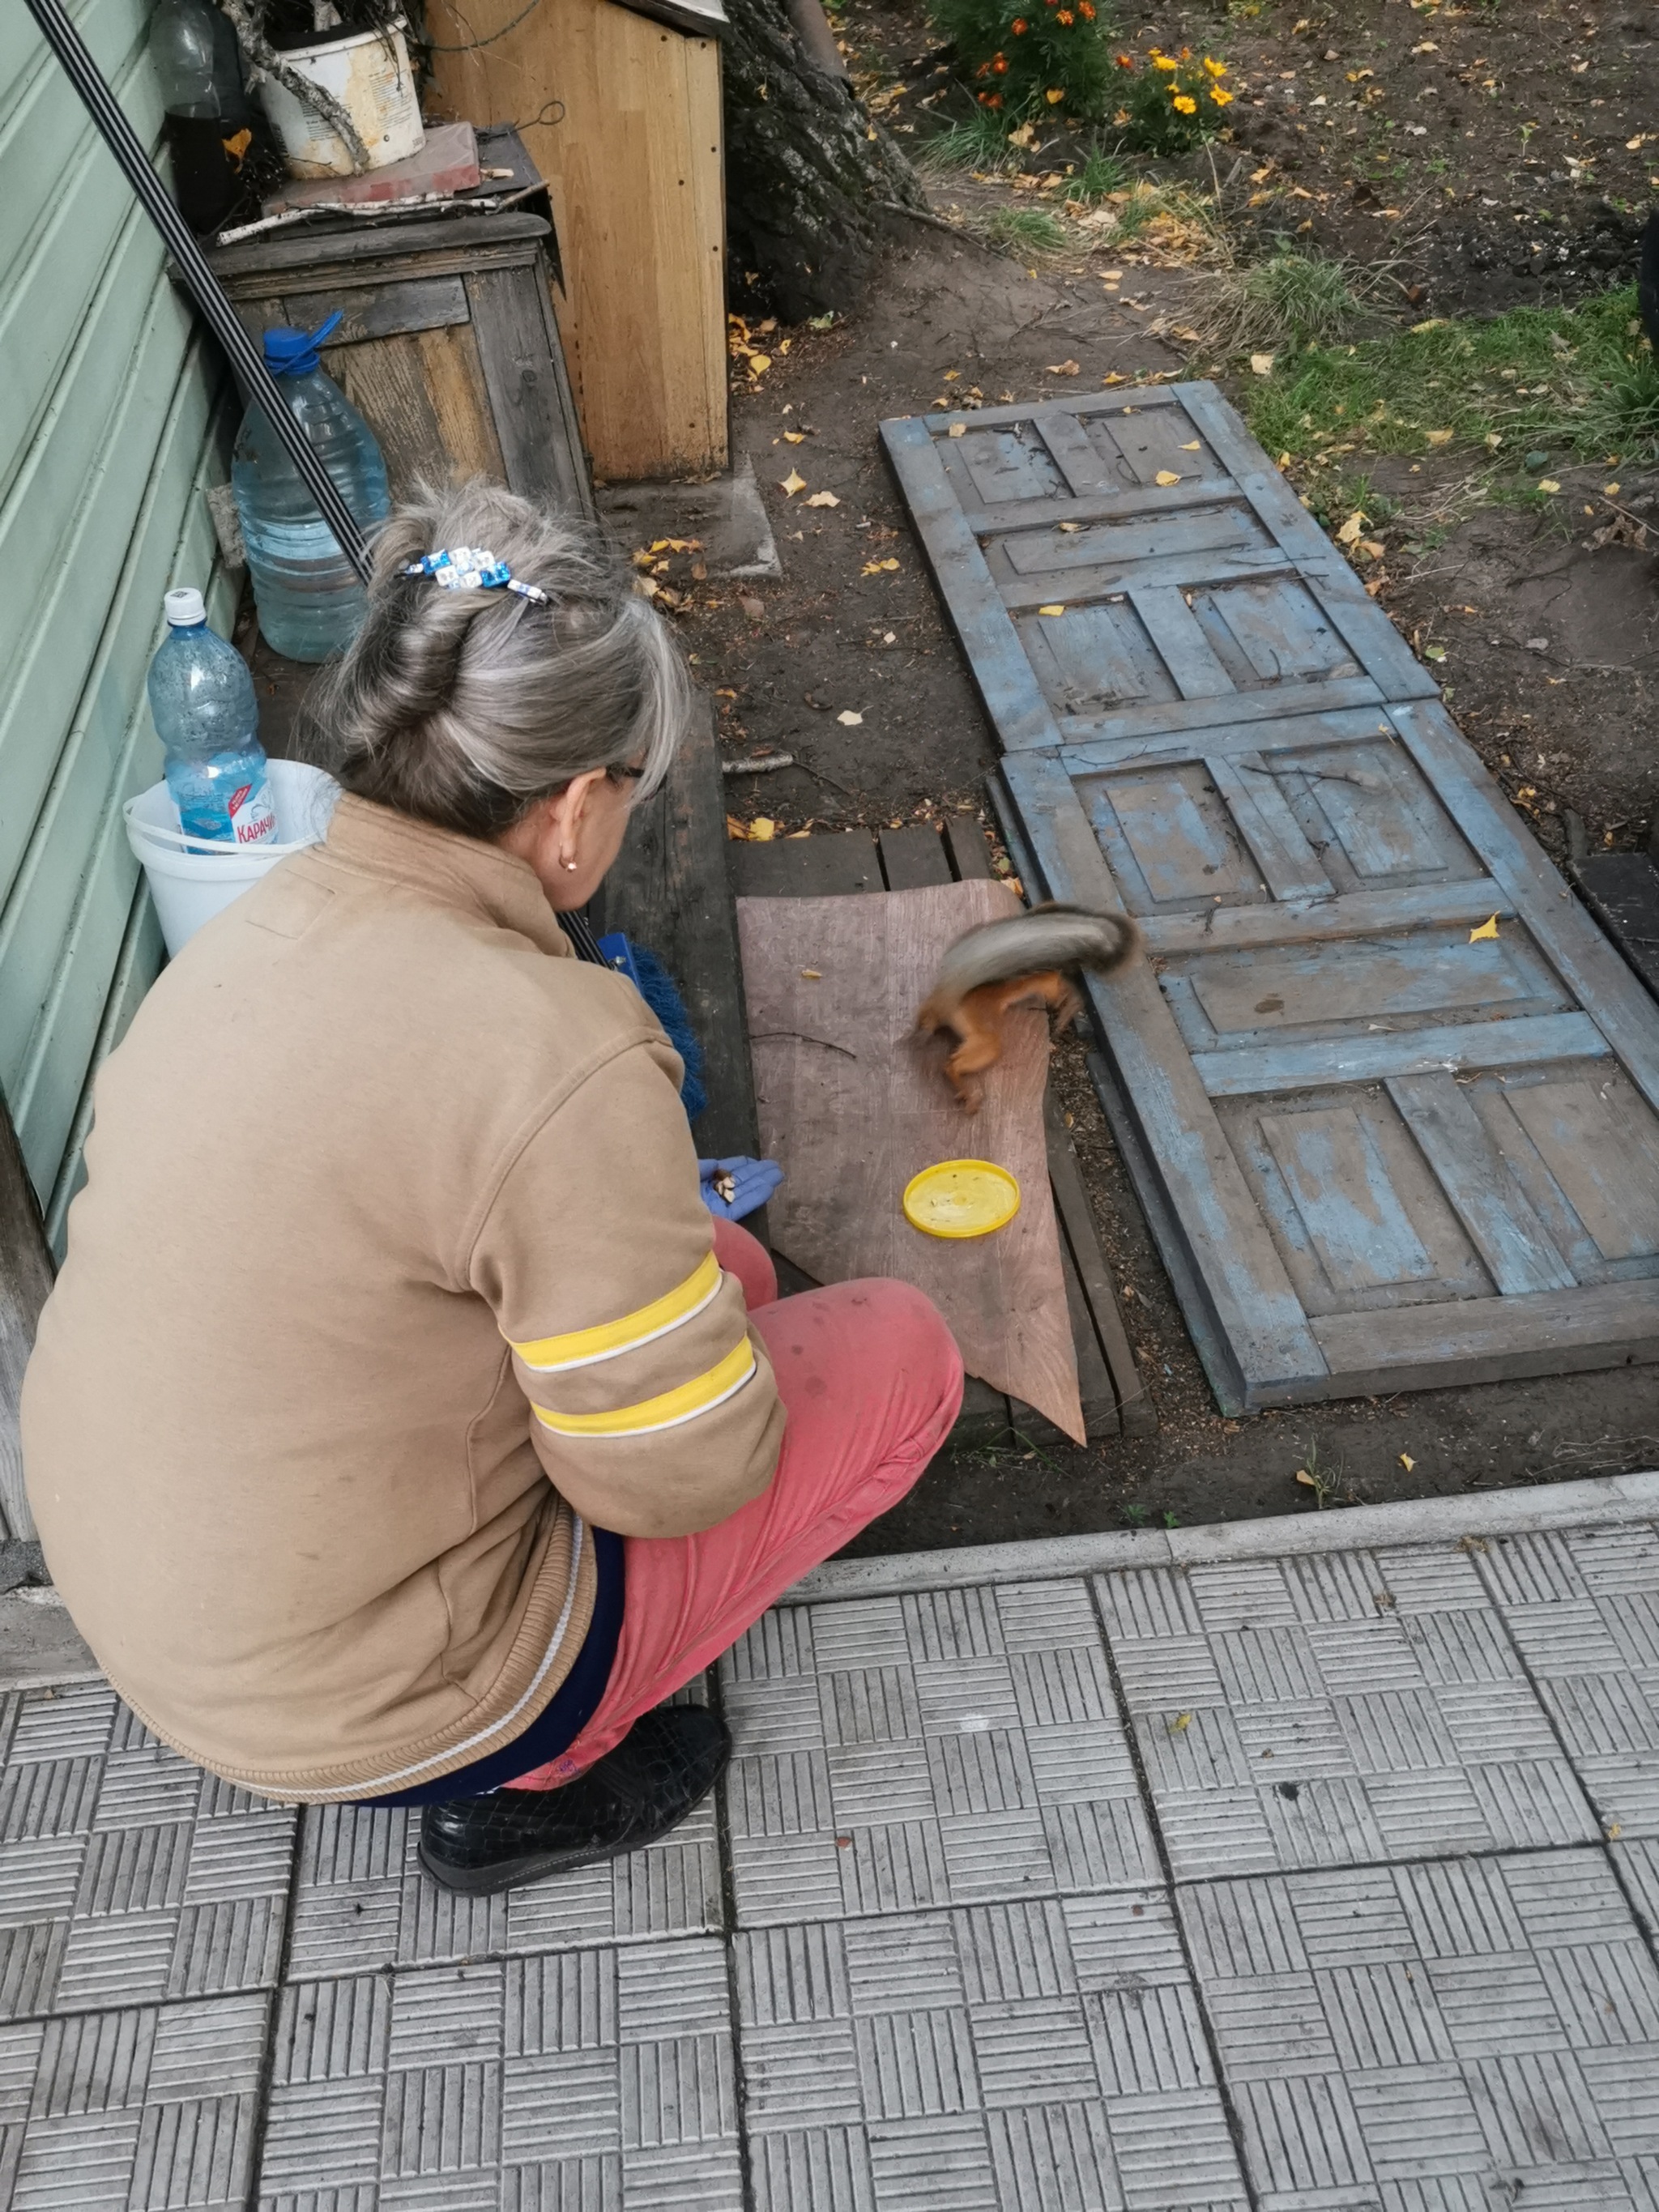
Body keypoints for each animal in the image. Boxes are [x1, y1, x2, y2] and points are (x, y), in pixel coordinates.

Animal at [924, 897, 1141, 1106]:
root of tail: (944, 1000)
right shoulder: (1050, 981)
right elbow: (1059, 992)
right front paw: (1069, 1008)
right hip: (983, 1036)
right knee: (953, 1063)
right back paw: (967, 1093)